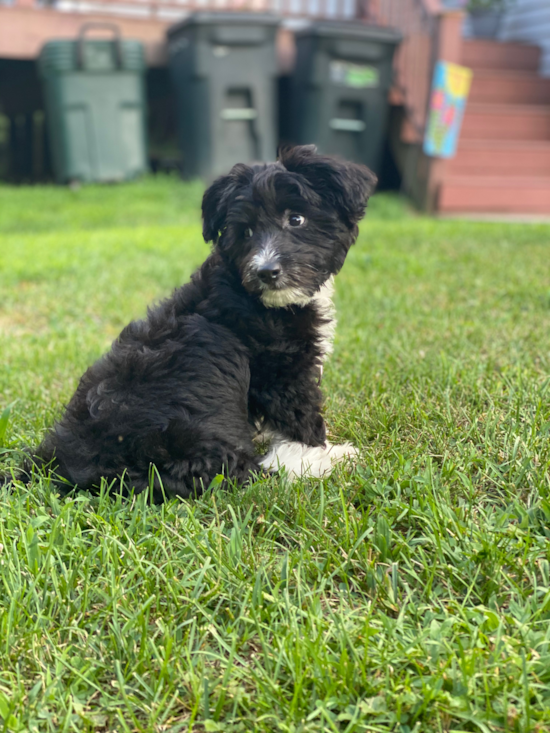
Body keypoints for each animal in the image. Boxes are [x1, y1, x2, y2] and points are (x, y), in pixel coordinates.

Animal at [10, 144, 378, 498]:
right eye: (246, 231)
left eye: (296, 219)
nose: (266, 272)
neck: (251, 294)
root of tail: (58, 465)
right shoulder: (282, 366)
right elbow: (302, 414)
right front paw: (321, 454)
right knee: (233, 472)